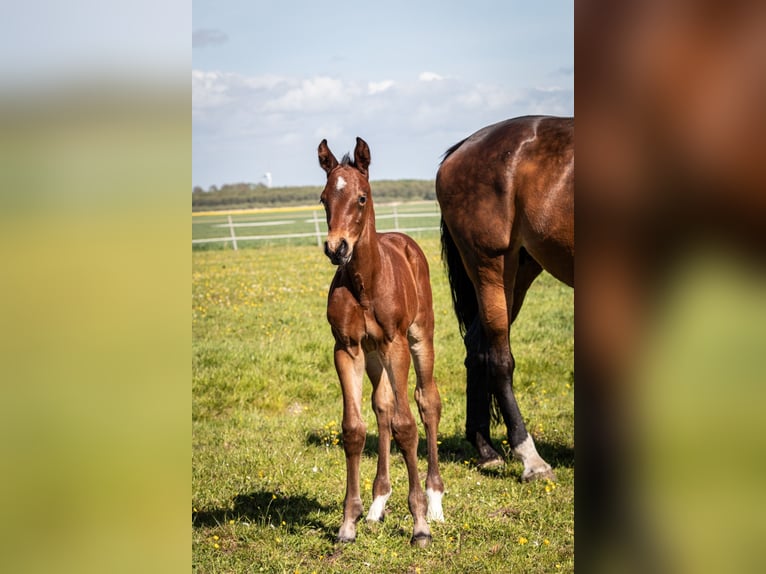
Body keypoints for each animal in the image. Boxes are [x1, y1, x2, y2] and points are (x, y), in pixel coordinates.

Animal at [318, 137, 448, 548]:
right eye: (324, 198)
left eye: (361, 197)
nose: (337, 248)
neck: (365, 281)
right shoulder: (347, 348)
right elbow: (355, 429)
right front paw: (348, 522)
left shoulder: (396, 344)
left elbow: (407, 426)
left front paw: (419, 523)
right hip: (374, 356)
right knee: (383, 406)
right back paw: (378, 503)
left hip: (420, 337)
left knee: (427, 402)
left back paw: (435, 501)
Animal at [436, 117, 572, 482]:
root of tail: (463, 147)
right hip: (491, 267)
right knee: (498, 359)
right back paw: (531, 459)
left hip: (521, 269)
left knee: (476, 347)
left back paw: (485, 449)